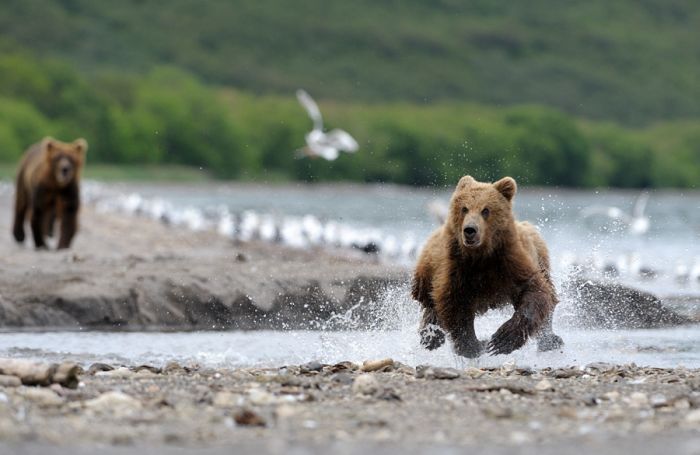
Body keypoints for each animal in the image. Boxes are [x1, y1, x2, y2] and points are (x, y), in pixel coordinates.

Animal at [412, 176, 560, 358]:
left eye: (486, 210)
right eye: (464, 208)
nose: (470, 230)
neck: (481, 257)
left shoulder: (510, 262)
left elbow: (534, 291)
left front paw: (501, 341)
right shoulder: (456, 270)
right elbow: (455, 306)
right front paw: (476, 345)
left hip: (541, 258)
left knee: (550, 298)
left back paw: (550, 340)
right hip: (426, 274)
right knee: (430, 303)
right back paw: (431, 337)